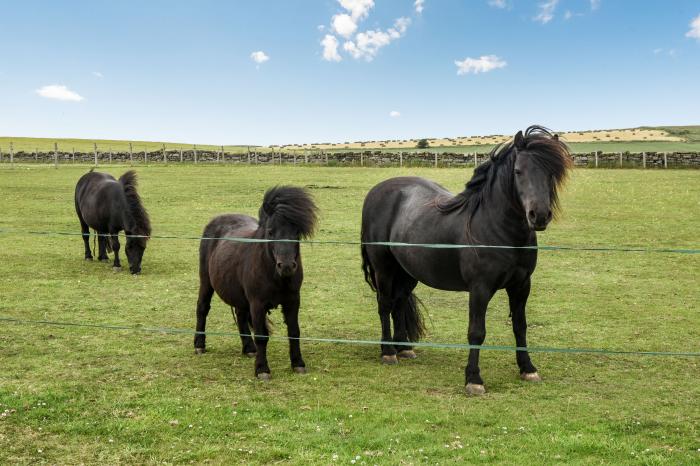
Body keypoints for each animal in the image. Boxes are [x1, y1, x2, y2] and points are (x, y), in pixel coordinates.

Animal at [194, 184, 320, 380]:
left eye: (297, 232)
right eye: (270, 232)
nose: (286, 266)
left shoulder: (292, 301)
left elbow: (294, 332)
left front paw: (298, 364)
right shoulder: (258, 303)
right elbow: (261, 336)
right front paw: (262, 370)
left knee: (241, 315)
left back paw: (249, 349)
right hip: (206, 282)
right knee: (202, 308)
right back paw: (199, 345)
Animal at [360, 125, 576, 396]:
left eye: (551, 173)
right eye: (518, 171)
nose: (539, 216)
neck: (496, 228)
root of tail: (376, 191)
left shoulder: (522, 285)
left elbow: (520, 326)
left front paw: (527, 368)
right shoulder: (480, 288)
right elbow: (476, 332)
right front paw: (473, 379)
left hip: (408, 272)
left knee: (399, 302)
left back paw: (404, 348)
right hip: (384, 269)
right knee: (385, 304)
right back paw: (388, 351)